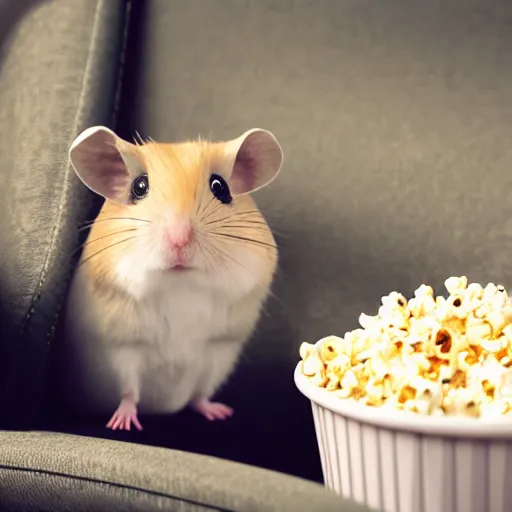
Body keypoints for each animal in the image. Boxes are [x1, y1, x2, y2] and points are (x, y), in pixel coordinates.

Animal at [63, 126, 284, 430]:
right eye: (139, 187)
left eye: (220, 188)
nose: (179, 239)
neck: (182, 288)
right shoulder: (121, 348)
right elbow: (129, 390)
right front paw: (120, 424)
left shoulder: (220, 350)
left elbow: (200, 392)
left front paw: (222, 412)